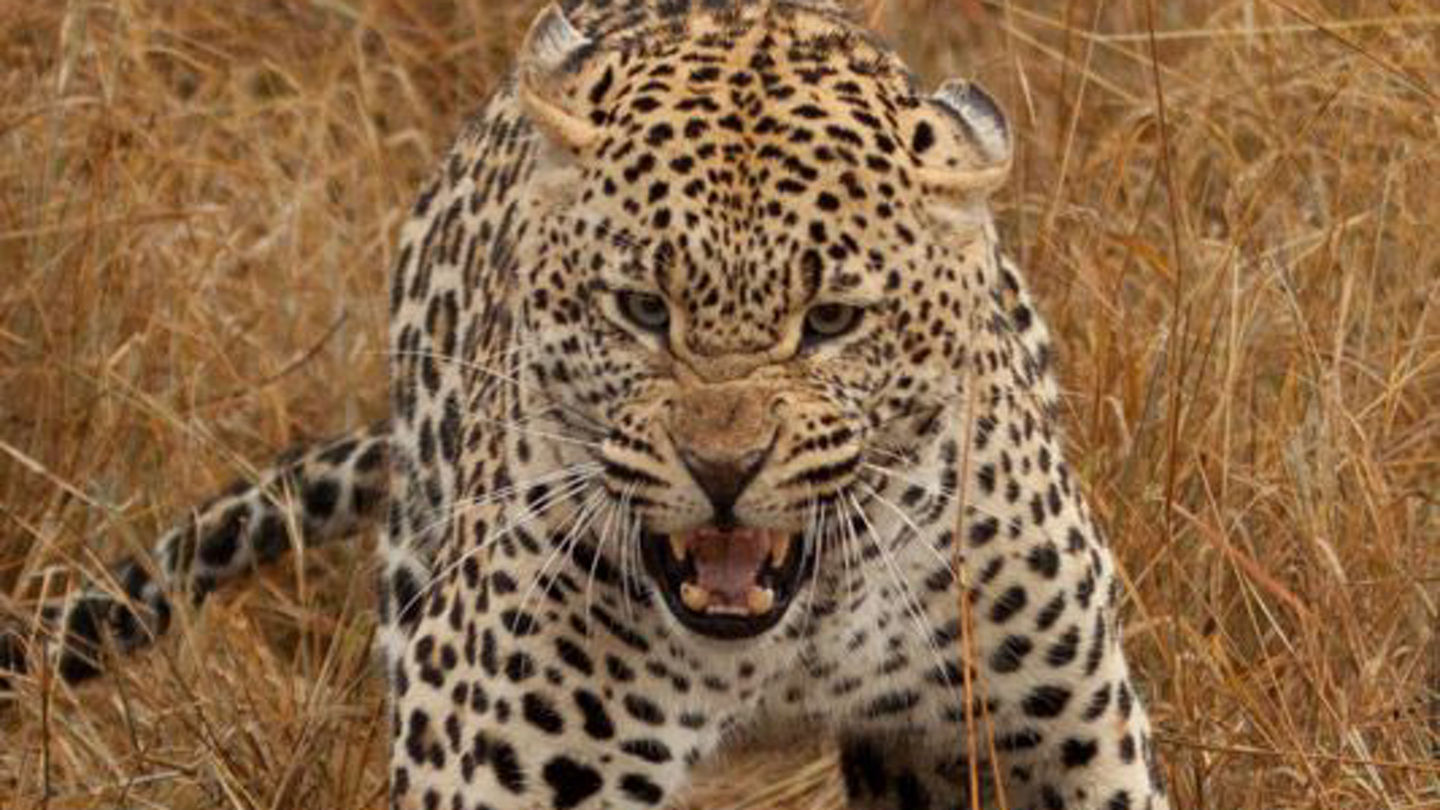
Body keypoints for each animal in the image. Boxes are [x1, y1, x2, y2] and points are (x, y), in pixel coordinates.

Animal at [1, 2, 1170, 809]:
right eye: (643, 307)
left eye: (831, 319)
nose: (724, 472)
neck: (795, 642)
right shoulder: (492, 757)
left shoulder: (1062, 739)